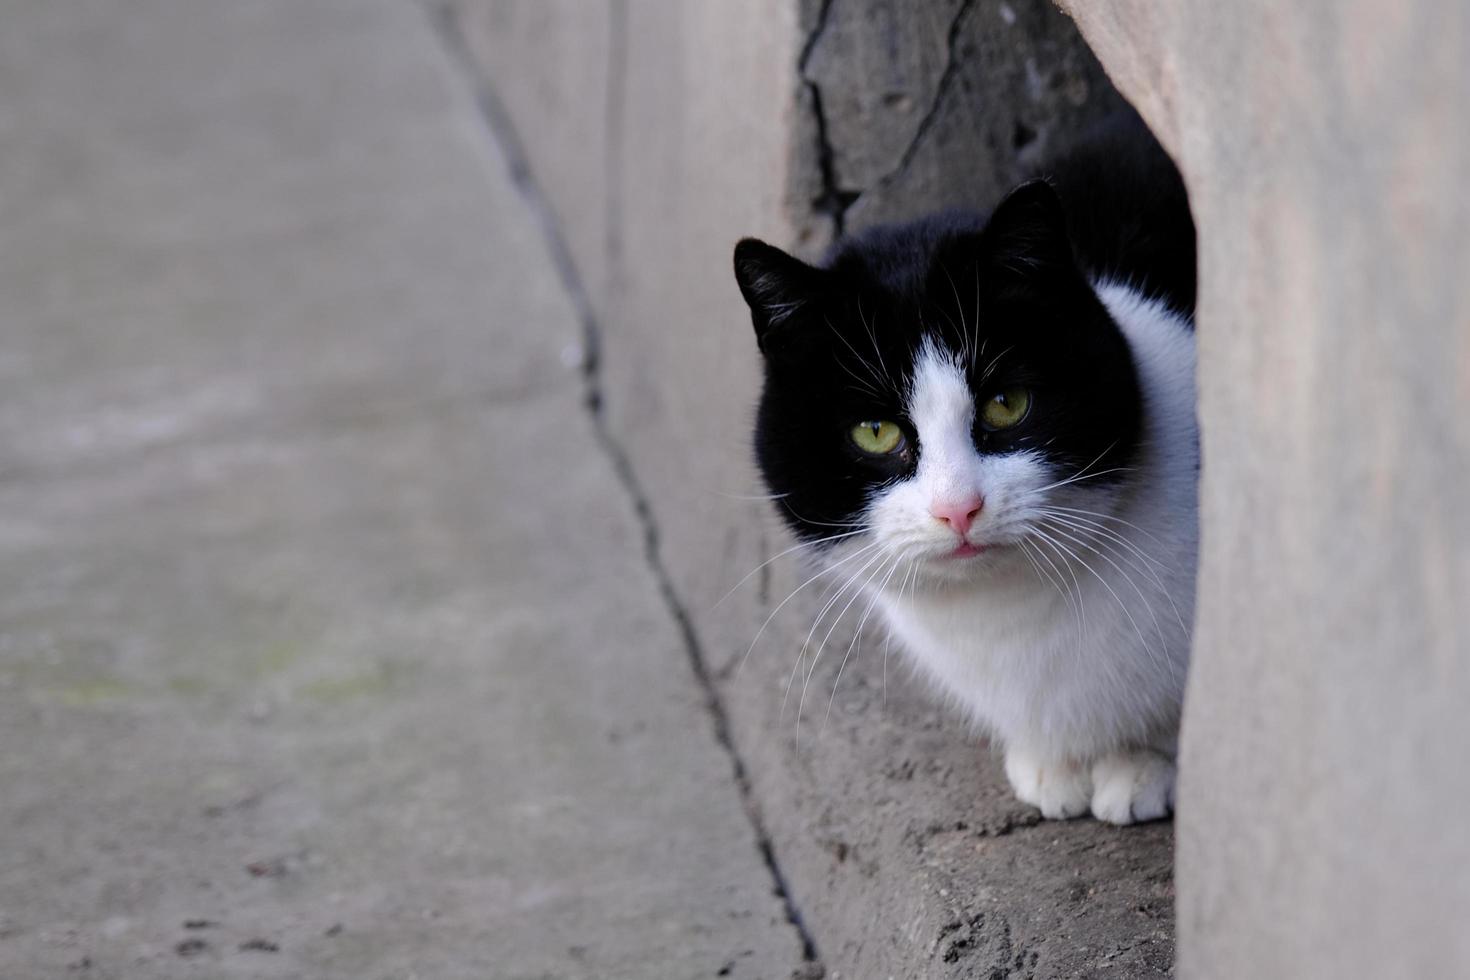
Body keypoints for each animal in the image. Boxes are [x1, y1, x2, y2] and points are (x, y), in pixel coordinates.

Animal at [729, 109, 1199, 828]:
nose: (959, 508)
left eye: (1006, 404)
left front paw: (1141, 763)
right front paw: (1052, 764)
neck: (1010, 614)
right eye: (875, 433)